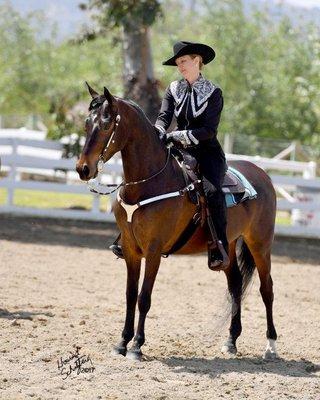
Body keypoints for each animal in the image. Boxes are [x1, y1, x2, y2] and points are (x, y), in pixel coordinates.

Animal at [75, 84, 278, 362]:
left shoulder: (153, 251)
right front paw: (122, 342)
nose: (83, 169)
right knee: (235, 285)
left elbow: (144, 297)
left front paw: (137, 346)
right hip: (228, 245)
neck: (151, 182)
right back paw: (230, 341)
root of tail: (262, 174)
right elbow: (130, 295)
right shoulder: (130, 249)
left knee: (266, 289)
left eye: (106, 124)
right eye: (87, 123)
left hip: (260, 243)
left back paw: (271, 345)